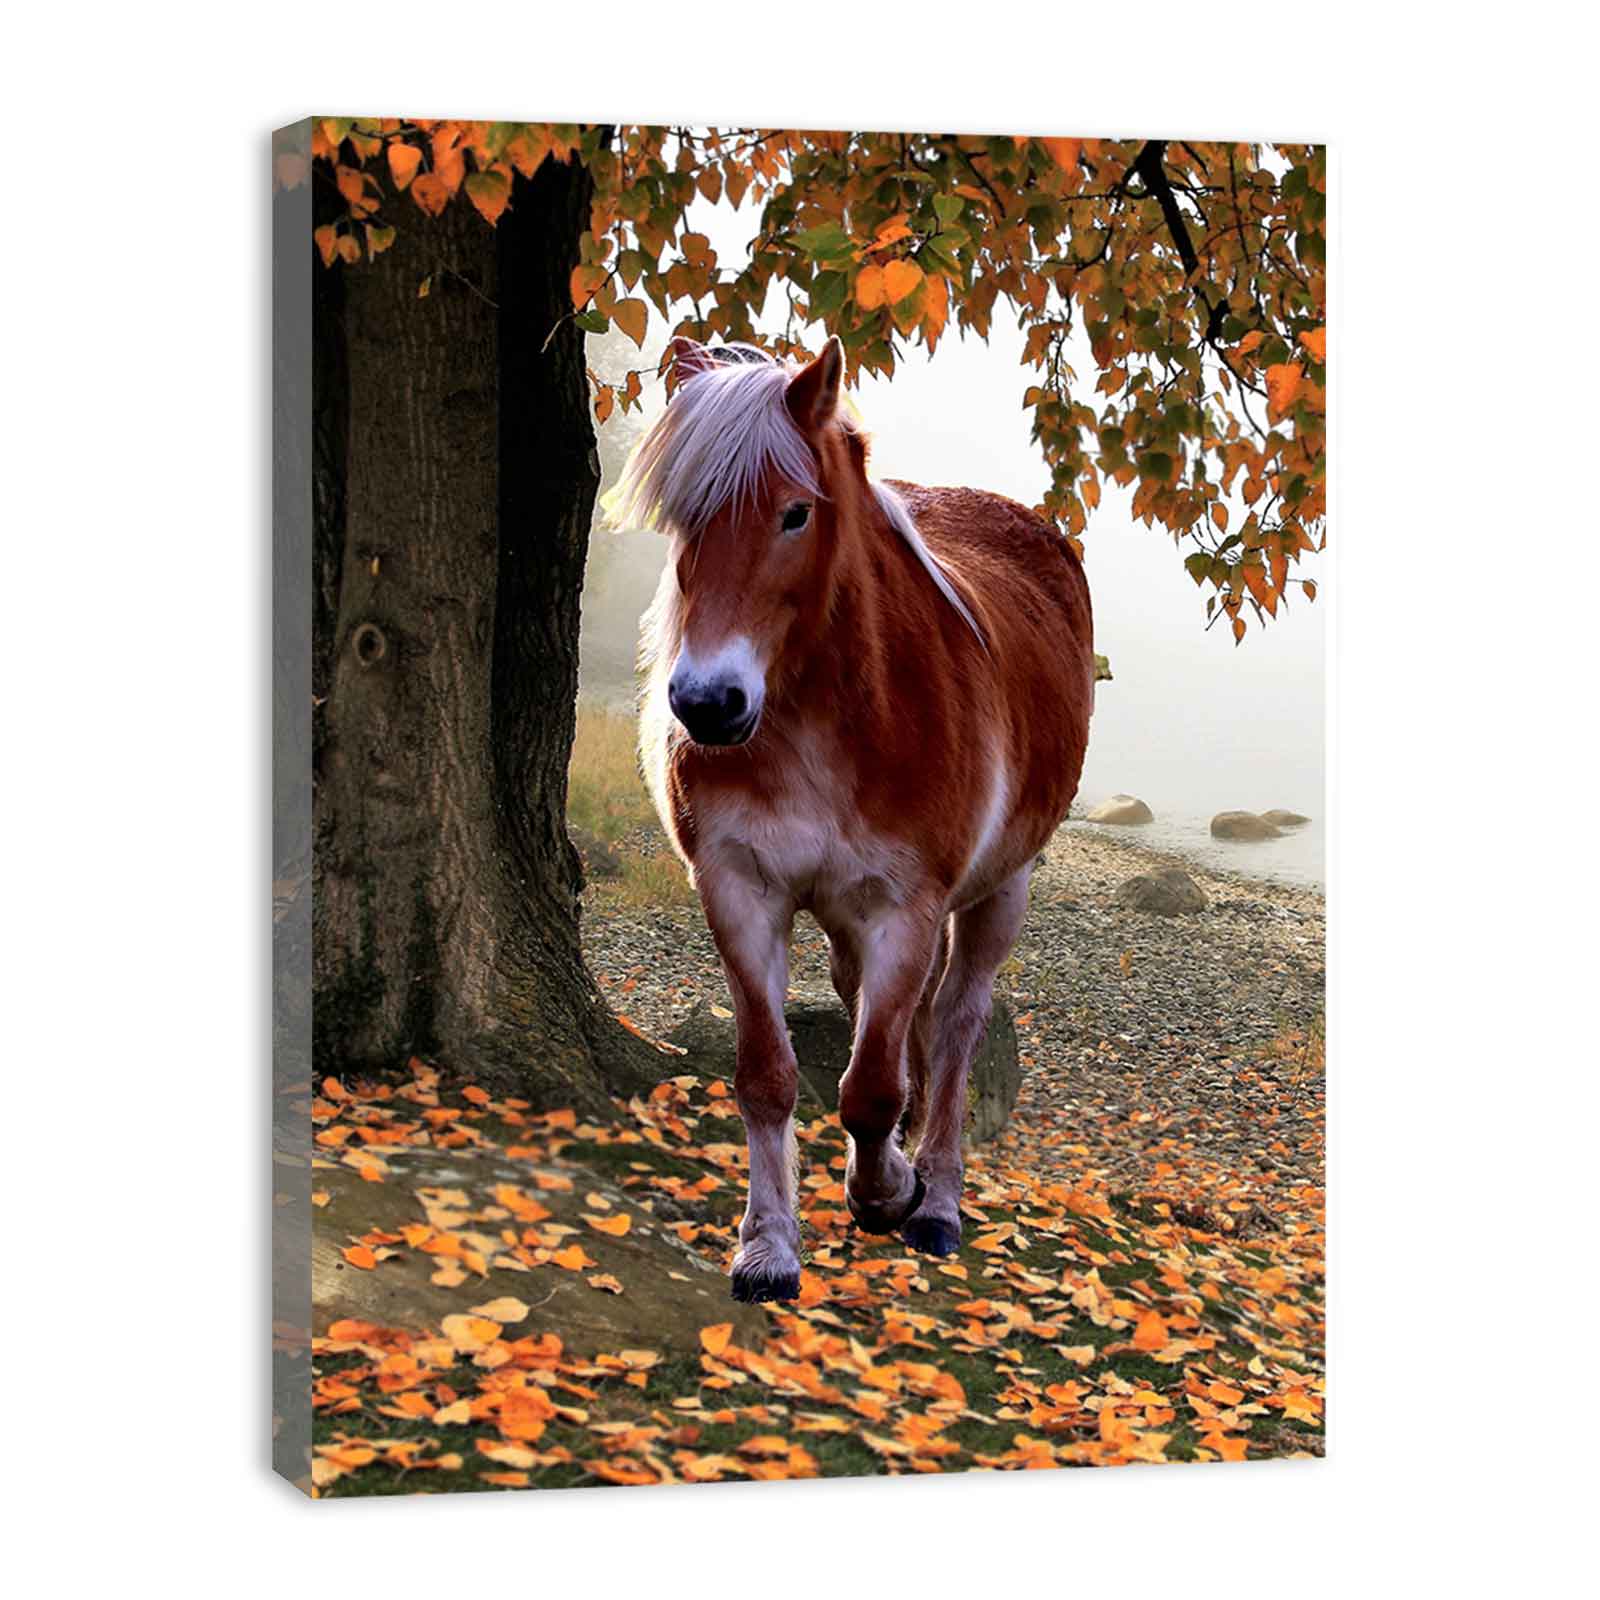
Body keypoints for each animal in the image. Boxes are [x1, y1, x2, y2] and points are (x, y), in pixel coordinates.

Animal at [618, 335, 1095, 1303]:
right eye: (683, 518)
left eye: (795, 514)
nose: (707, 705)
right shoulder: (740, 891)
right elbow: (770, 1076)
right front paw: (768, 1245)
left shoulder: (904, 908)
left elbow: (874, 1086)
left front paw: (888, 1191)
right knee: (869, 1006)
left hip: (1003, 890)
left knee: (954, 1026)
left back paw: (937, 1196)